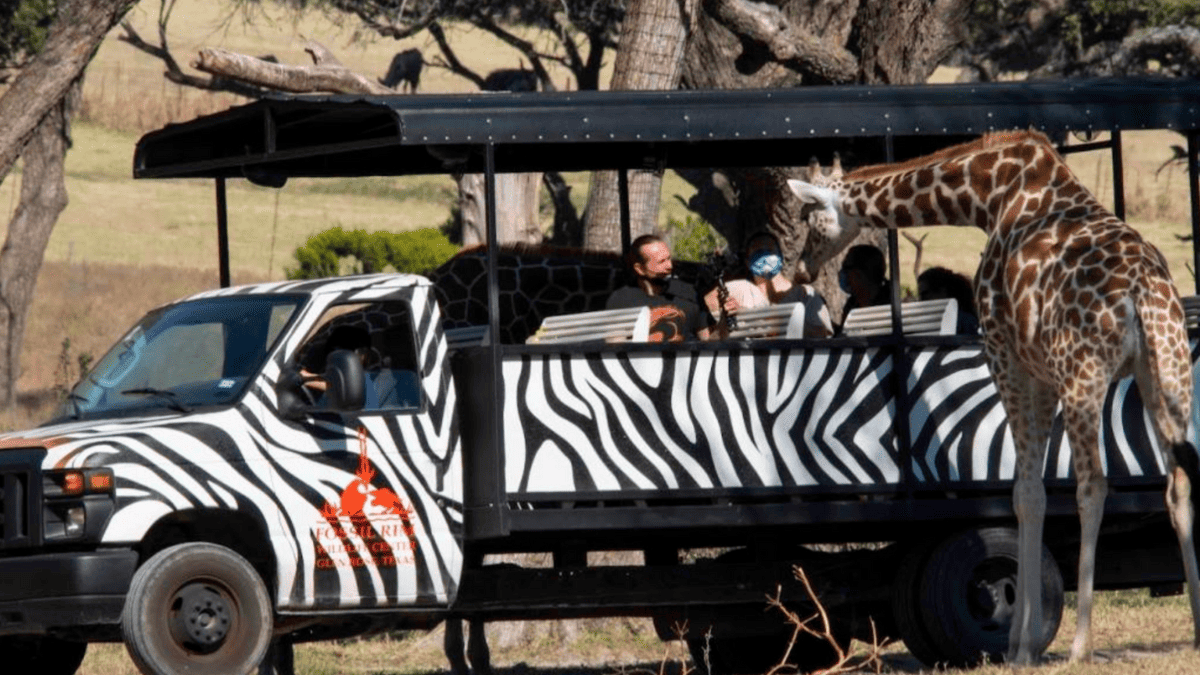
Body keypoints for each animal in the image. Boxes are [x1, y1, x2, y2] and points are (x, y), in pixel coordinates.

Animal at [787, 130, 1200, 662]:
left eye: (810, 217)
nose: (801, 270)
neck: (988, 196)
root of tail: (1142, 294)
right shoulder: (1039, 371)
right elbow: (1032, 490)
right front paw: (1021, 640)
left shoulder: (1008, 357)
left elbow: (1025, 493)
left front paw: (1020, 647)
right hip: (1167, 372)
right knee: (1179, 480)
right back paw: (1198, 625)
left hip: (1083, 374)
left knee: (1093, 485)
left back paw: (1081, 645)